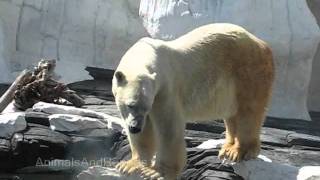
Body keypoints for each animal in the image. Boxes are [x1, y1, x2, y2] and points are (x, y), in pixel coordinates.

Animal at [111, 23, 274, 179]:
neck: (145, 53)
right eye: (131, 105)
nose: (135, 127)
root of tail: (262, 43)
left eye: (146, 107)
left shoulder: (165, 90)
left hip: (247, 71)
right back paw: (227, 148)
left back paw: (238, 151)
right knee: (232, 114)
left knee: (248, 112)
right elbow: (144, 134)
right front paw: (129, 165)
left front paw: (156, 172)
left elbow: (168, 128)